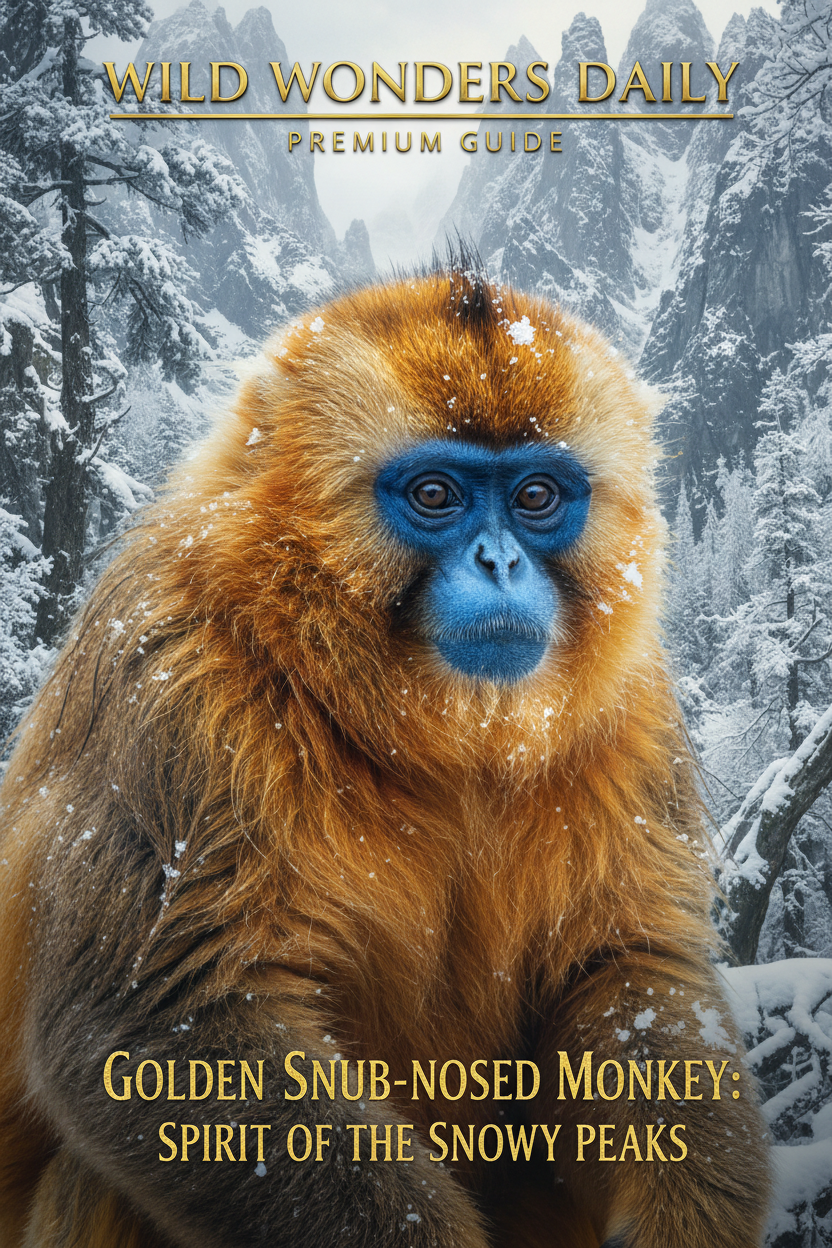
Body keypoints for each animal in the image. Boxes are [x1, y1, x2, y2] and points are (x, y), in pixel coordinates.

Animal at [0, 262, 770, 1248]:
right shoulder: (169, 677)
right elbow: (160, 1021)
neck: (424, 736)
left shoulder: (631, 707)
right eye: (436, 495)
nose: (499, 563)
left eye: (536, 497)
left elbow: (631, 970)